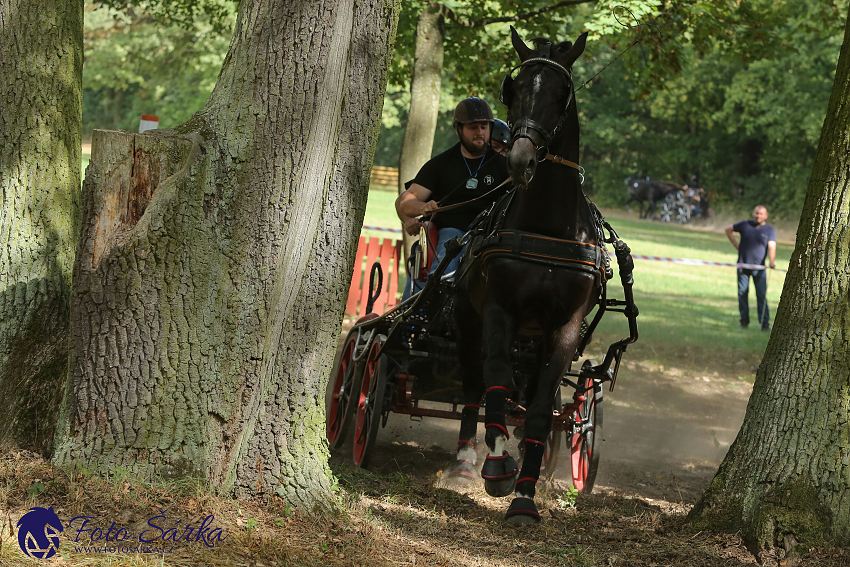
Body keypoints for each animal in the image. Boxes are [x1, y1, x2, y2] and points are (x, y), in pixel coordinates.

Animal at [450, 26, 604, 524]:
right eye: (514, 90)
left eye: (561, 94)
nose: (519, 161)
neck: (547, 227)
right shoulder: (499, 309)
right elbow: (496, 377)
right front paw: (499, 462)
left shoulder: (566, 325)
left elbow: (540, 407)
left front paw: (525, 494)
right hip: (467, 319)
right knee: (474, 383)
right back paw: (467, 457)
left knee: (534, 392)